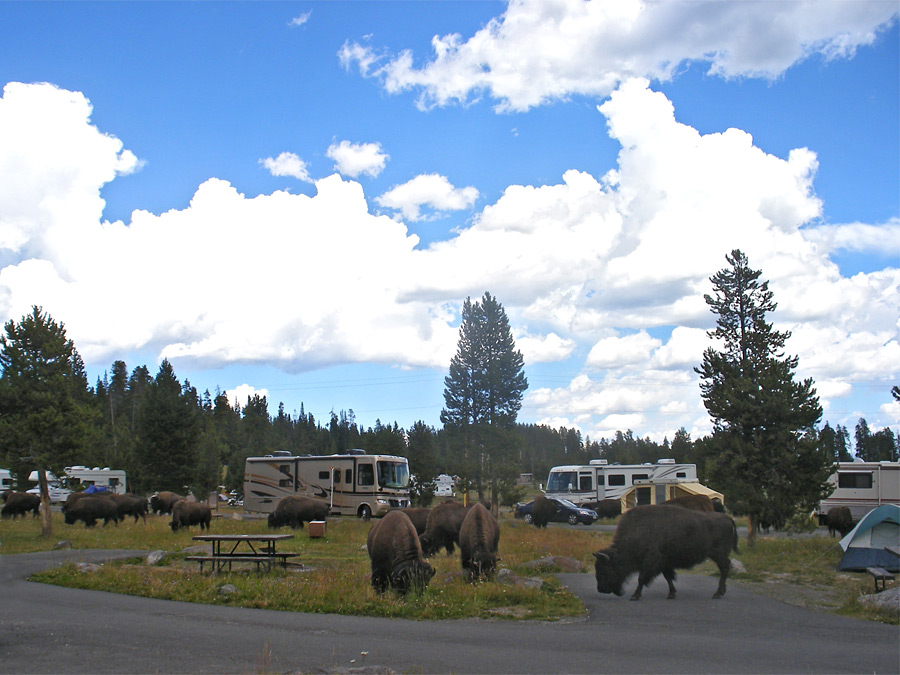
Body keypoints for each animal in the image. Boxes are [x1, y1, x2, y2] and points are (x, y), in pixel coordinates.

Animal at [592, 508, 740, 604]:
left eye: (605, 569)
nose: (600, 589)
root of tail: (727, 518)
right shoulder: (664, 563)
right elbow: (668, 577)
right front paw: (671, 594)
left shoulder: (650, 561)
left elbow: (641, 578)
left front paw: (635, 596)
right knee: (725, 568)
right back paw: (720, 592)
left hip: (718, 554)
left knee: (725, 568)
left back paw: (717, 594)